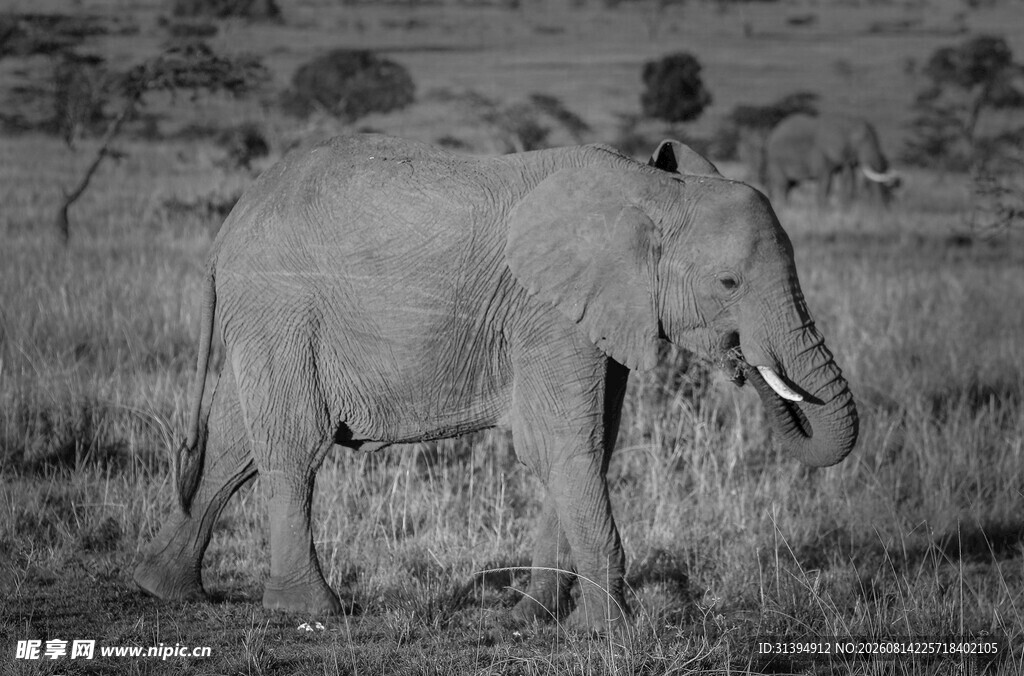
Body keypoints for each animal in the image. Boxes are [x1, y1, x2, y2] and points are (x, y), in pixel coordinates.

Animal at [133, 134, 858, 635]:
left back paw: (162, 589)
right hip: (283, 309)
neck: (653, 191)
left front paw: (535, 617)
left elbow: (591, 444)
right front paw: (615, 635)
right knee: (292, 446)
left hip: (265, 316)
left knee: (234, 445)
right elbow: (565, 445)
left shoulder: (595, 313)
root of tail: (228, 224)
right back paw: (312, 610)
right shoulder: (546, 311)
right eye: (728, 283)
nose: (746, 366)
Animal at [764, 113, 900, 207]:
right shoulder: (822, 151)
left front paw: (845, 209)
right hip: (775, 160)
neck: (847, 123)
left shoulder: (844, 155)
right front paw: (823, 211)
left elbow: (847, 178)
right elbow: (826, 181)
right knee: (782, 185)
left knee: (790, 186)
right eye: (859, 141)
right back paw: (784, 208)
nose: (883, 208)